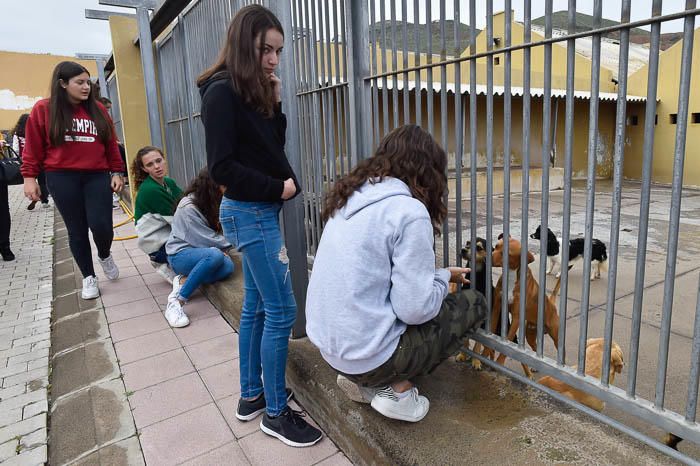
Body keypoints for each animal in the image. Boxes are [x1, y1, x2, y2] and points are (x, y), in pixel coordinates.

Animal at [474, 237, 560, 378]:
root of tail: (552, 304)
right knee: (535, 348)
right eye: (496, 247)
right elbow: (490, 335)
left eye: (507, 253)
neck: (511, 275)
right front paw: (483, 356)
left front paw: (499, 363)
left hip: (556, 337)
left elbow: (507, 341)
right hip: (530, 335)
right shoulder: (496, 309)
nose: (486, 259)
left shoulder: (516, 318)